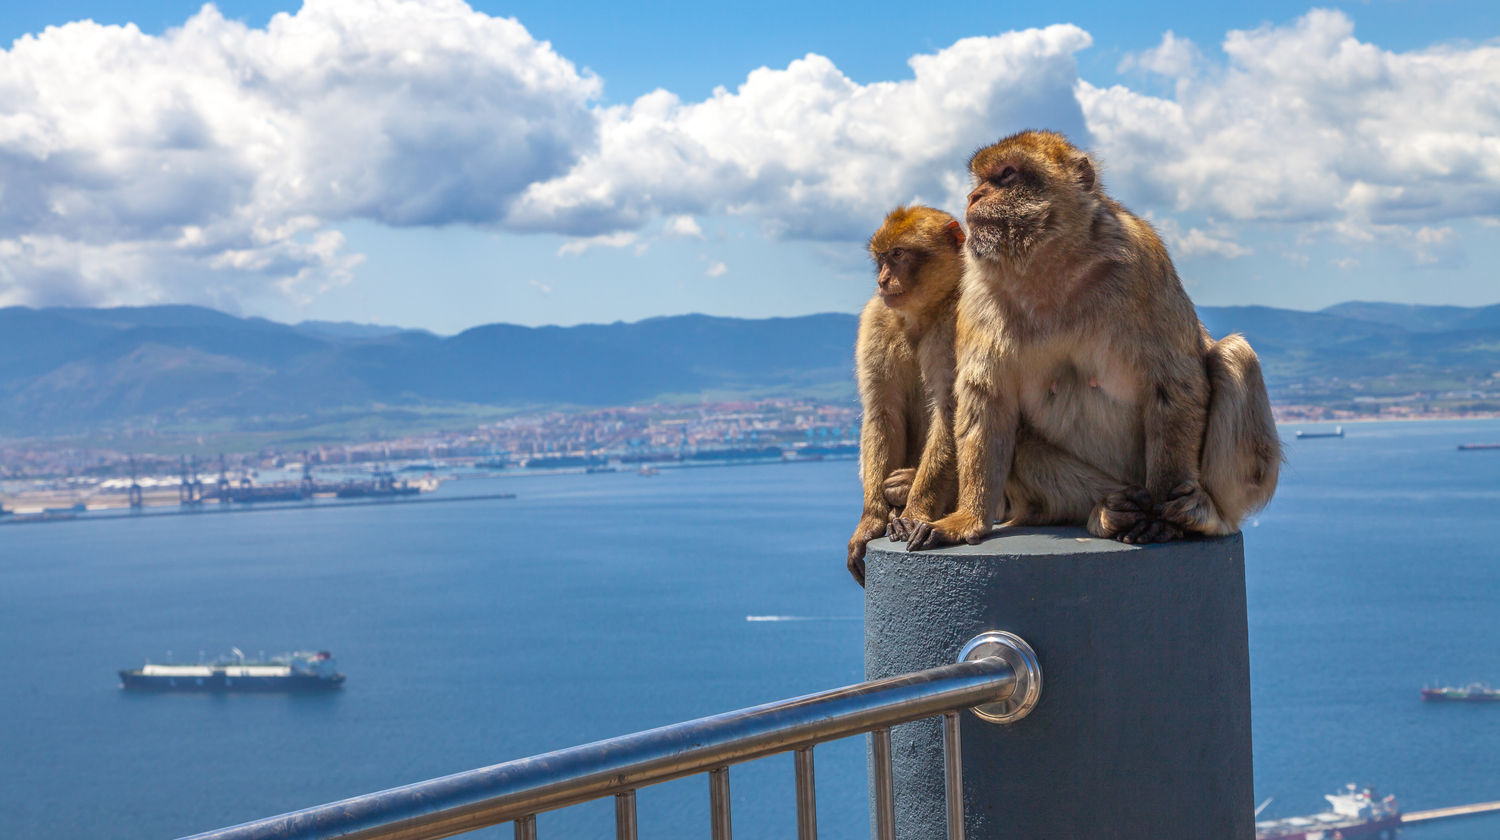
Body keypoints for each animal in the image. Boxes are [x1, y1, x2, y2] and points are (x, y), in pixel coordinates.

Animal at [846, 206, 965, 585]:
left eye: (898, 255)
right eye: (882, 259)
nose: (883, 280)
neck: (921, 314)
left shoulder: (959, 317)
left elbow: (952, 409)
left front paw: (915, 512)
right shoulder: (877, 318)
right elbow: (882, 411)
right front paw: (870, 522)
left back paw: (907, 484)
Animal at [895, 130, 1280, 550]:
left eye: (1007, 174)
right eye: (980, 179)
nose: (973, 196)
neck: (1049, 269)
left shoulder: (1144, 261)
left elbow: (1172, 385)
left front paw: (1163, 517)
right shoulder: (978, 294)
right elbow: (986, 400)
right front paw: (965, 520)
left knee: (1234, 355)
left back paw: (1204, 514)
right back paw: (1109, 512)